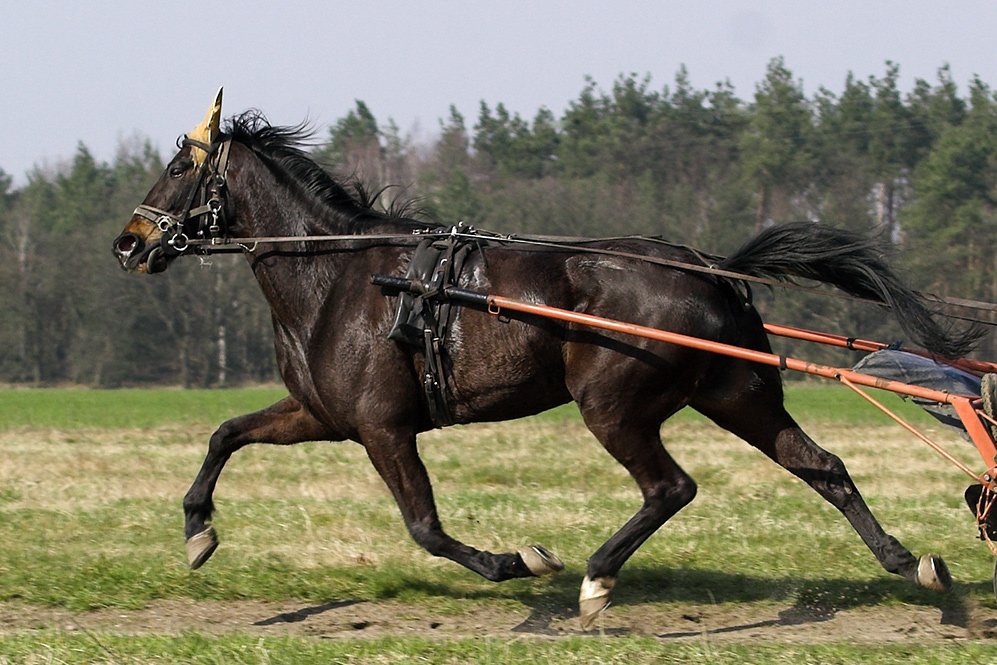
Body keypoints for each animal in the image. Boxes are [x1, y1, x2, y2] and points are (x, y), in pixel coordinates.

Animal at [113, 92, 976, 628]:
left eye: (181, 166)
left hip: (613, 403)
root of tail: (705, 265)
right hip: (737, 391)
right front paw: (196, 529)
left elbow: (425, 526)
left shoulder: (383, 425)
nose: (128, 242)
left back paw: (595, 579)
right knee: (818, 464)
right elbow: (226, 433)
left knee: (670, 485)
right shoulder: (323, 413)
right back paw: (910, 565)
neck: (344, 278)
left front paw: (517, 561)